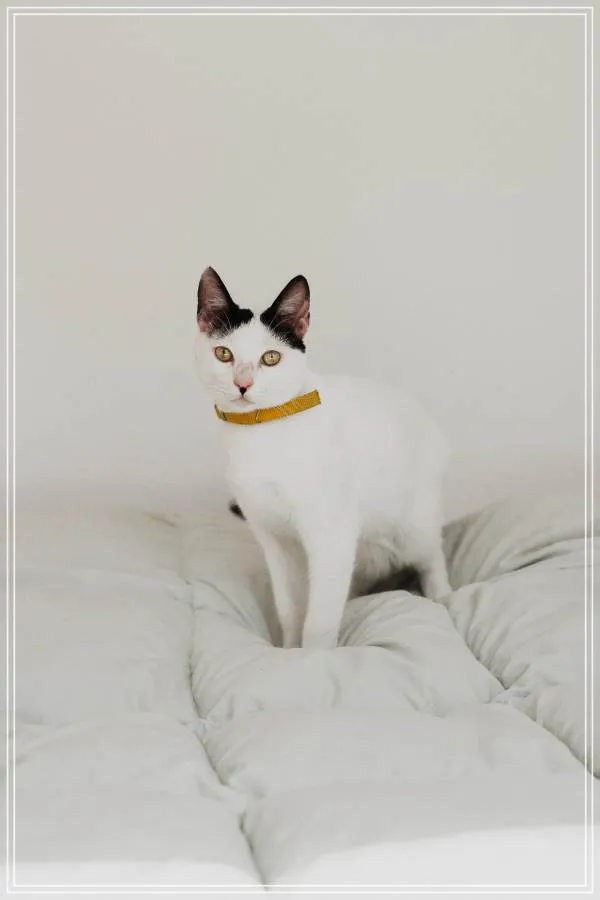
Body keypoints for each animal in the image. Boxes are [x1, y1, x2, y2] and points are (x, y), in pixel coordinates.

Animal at [195, 266, 450, 650]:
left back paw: (442, 596)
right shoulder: (275, 541)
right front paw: (288, 651)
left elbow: (319, 619)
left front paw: (315, 658)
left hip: (410, 526)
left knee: (432, 555)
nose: (243, 383)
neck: (259, 433)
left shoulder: (332, 534)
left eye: (271, 357)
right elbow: (290, 609)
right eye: (223, 354)